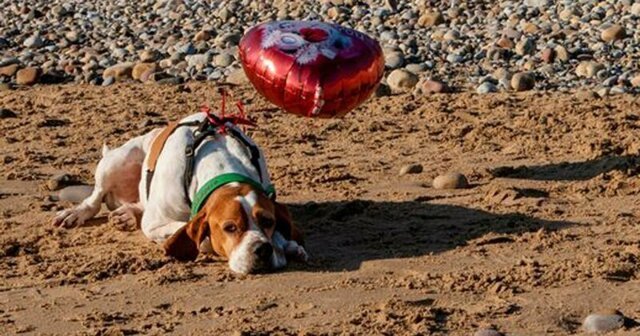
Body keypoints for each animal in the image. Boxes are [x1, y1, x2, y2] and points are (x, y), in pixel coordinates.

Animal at [52, 112, 308, 272]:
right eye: (230, 228)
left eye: (268, 221)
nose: (262, 250)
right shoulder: (154, 224)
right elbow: (189, 231)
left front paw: (286, 244)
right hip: (116, 161)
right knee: (95, 199)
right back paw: (76, 213)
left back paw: (126, 215)